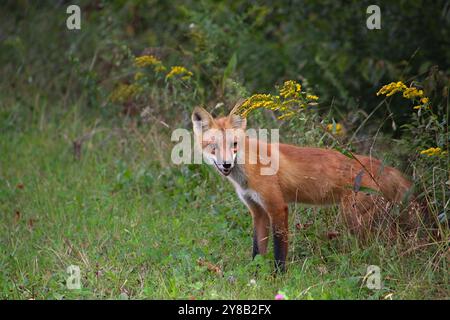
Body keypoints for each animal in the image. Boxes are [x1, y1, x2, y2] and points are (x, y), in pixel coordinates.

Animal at [192, 100, 424, 272]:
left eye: (234, 145)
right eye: (213, 147)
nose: (226, 164)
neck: (249, 167)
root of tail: (381, 165)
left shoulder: (278, 207)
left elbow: (279, 250)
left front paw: (278, 277)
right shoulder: (258, 211)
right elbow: (257, 250)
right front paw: (255, 277)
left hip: (354, 218)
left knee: (388, 246)